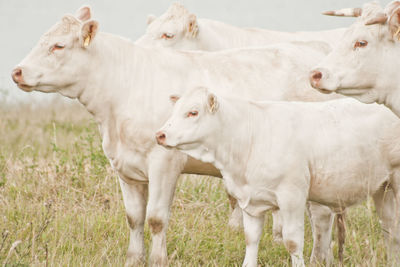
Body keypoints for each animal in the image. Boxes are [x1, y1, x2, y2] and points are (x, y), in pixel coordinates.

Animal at [10, 6, 340, 267]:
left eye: (58, 46)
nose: (17, 71)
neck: (123, 90)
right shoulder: (124, 167)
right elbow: (134, 217)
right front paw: (133, 259)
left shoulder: (164, 162)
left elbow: (156, 218)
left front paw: (158, 260)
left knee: (322, 216)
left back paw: (319, 257)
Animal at [156, 87, 400, 266]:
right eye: (174, 110)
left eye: (193, 112)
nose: (161, 134)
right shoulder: (251, 201)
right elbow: (251, 238)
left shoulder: (292, 197)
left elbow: (292, 241)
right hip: (382, 188)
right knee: (389, 228)